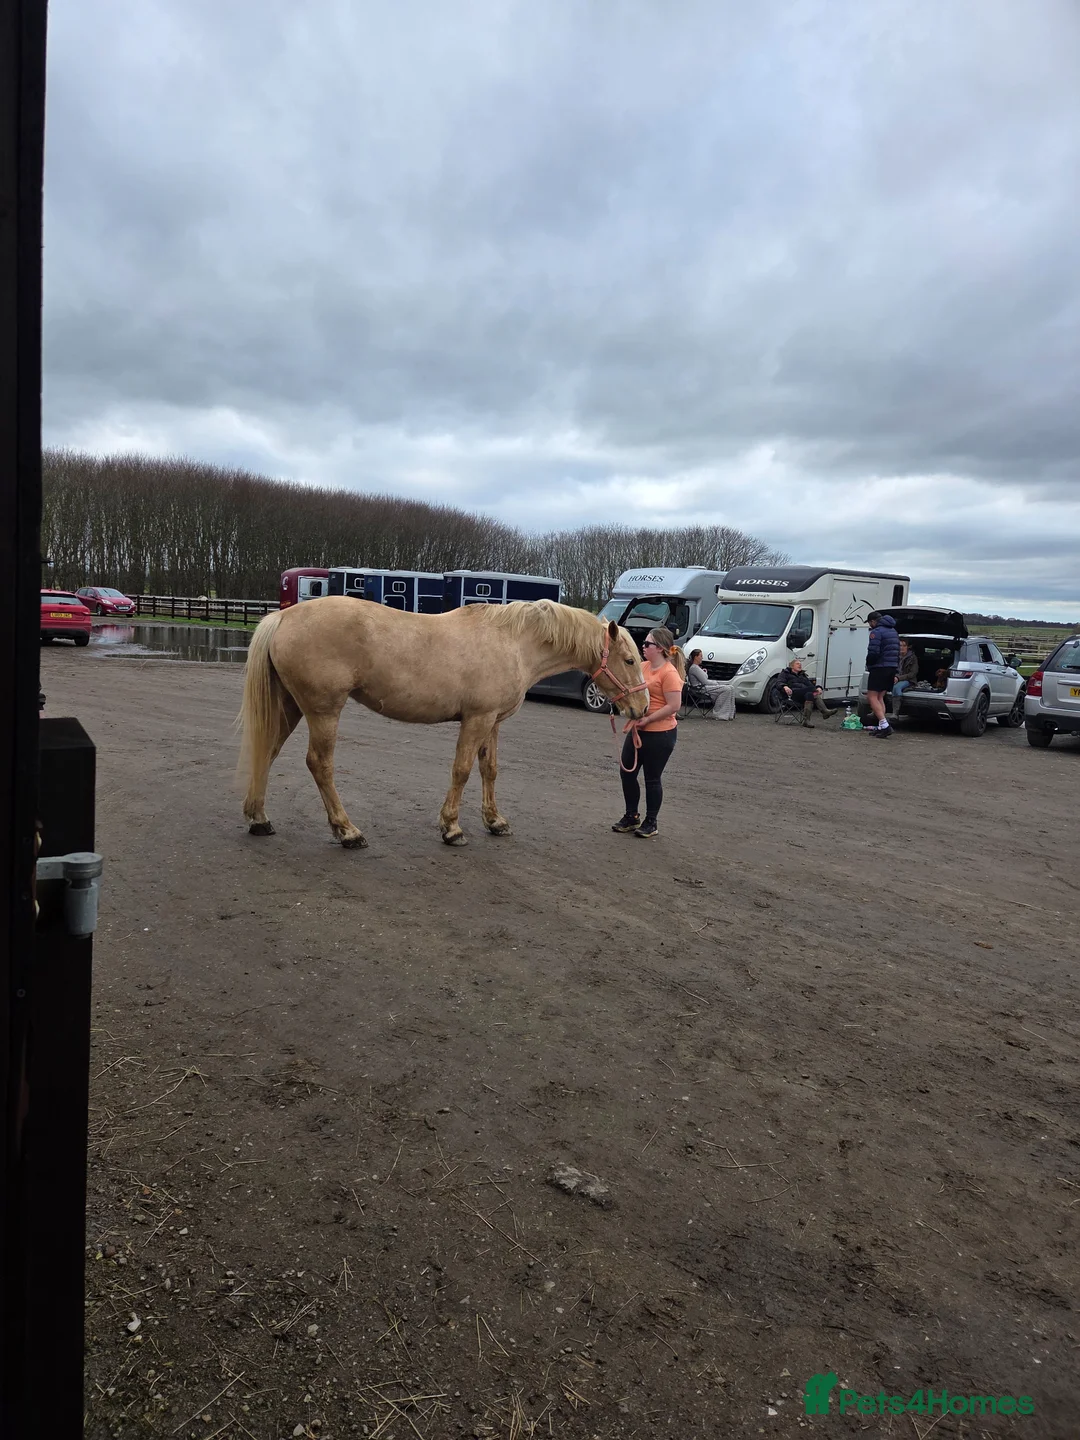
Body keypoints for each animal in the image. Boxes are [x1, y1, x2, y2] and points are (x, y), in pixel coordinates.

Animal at [237, 596, 648, 848]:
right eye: (629, 660)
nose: (642, 708)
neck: (514, 643)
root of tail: (283, 616)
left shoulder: (493, 722)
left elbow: (489, 770)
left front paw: (495, 822)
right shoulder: (477, 719)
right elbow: (462, 770)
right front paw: (451, 828)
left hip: (291, 707)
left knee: (267, 752)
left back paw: (259, 819)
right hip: (324, 711)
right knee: (319, 764)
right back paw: (348, 832)